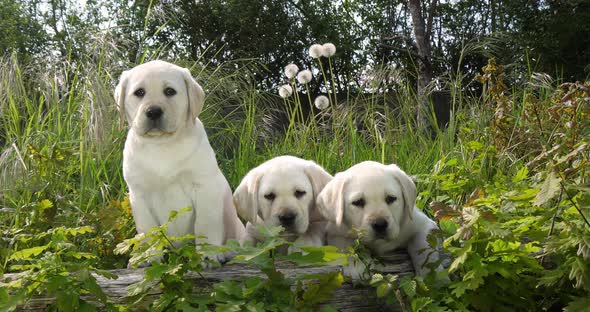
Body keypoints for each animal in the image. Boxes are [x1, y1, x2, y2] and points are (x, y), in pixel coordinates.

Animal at [114, 59, 246, 262]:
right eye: (139, 92)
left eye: (170, 91)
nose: (153, 112)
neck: (162, 144)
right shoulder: (139, 195)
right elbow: (149, 230)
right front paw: (150, 257)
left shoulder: (204, 187)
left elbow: (204, 225)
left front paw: (207, 254)